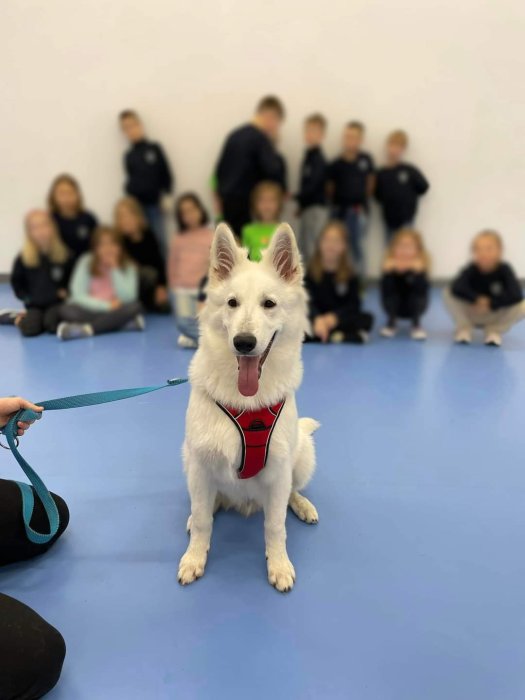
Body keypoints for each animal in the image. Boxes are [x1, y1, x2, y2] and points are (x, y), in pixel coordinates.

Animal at [177, 223, 320, 592]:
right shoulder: (201, 464)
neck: (246, 403)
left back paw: (302, 505)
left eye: (269, 304)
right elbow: (203, 521)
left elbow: (275, 526)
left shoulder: (278, 471)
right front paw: (195, 558)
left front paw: (279, 564)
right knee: (205, 504)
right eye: (232, 303)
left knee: (290, 494)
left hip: (302, 457)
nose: (243, 343)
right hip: (188, 459)